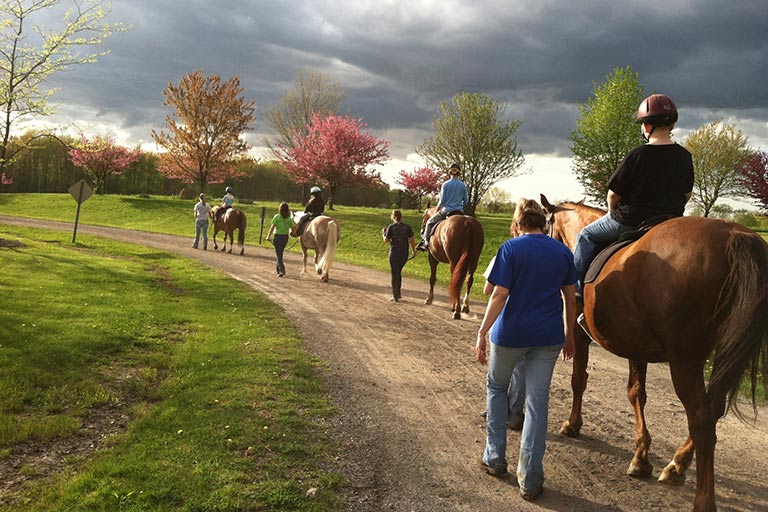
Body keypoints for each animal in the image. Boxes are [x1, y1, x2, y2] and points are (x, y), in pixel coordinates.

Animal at [540, 194, 768, 510]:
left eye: (545, 224)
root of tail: (734, 234)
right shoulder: (637, 346)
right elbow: (637, 392)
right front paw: (641, 458)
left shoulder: (579, 335)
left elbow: (579, 381)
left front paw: (573, 425)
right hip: (723, 356)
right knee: (714, 408)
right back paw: (677, 465)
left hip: (685, 360)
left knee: (702, 418)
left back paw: (702, 499)